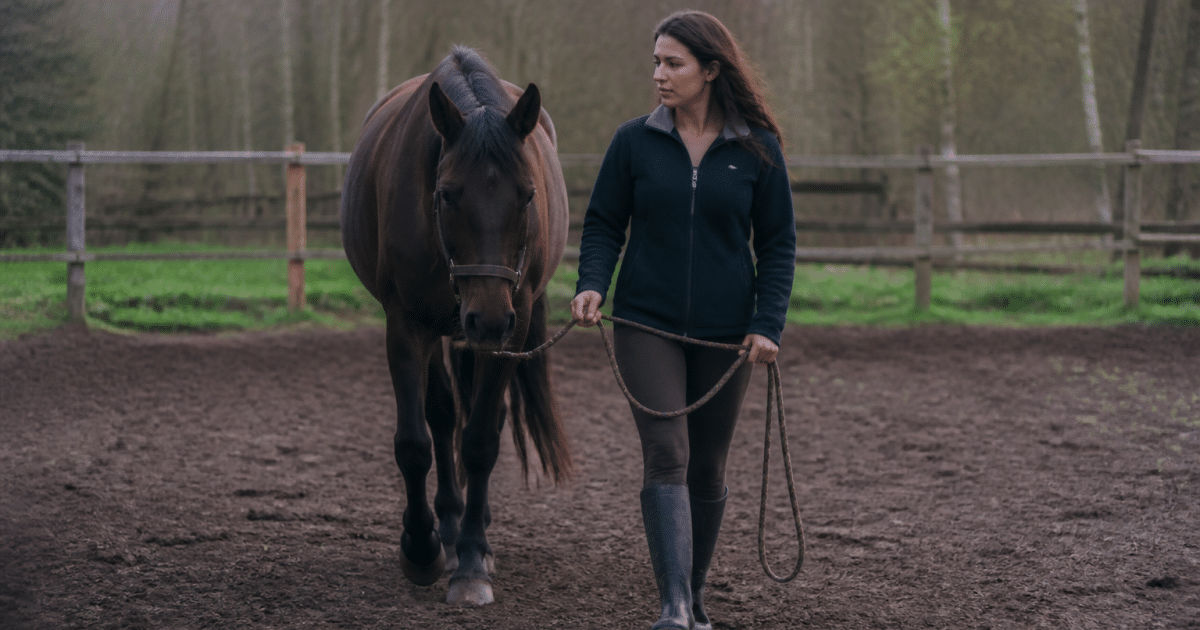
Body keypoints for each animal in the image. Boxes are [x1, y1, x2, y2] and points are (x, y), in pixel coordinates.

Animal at [339, 46, 573, 606]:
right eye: (446, 194)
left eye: (527, 195)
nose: (486, 318)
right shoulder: (406, 325)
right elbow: (416, 440)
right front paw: (422, 546)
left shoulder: (511, 324)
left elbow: (482, 439)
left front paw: (471, 560)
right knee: (443, 417)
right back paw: (445, 526)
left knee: (479, 420)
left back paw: (474, 530)